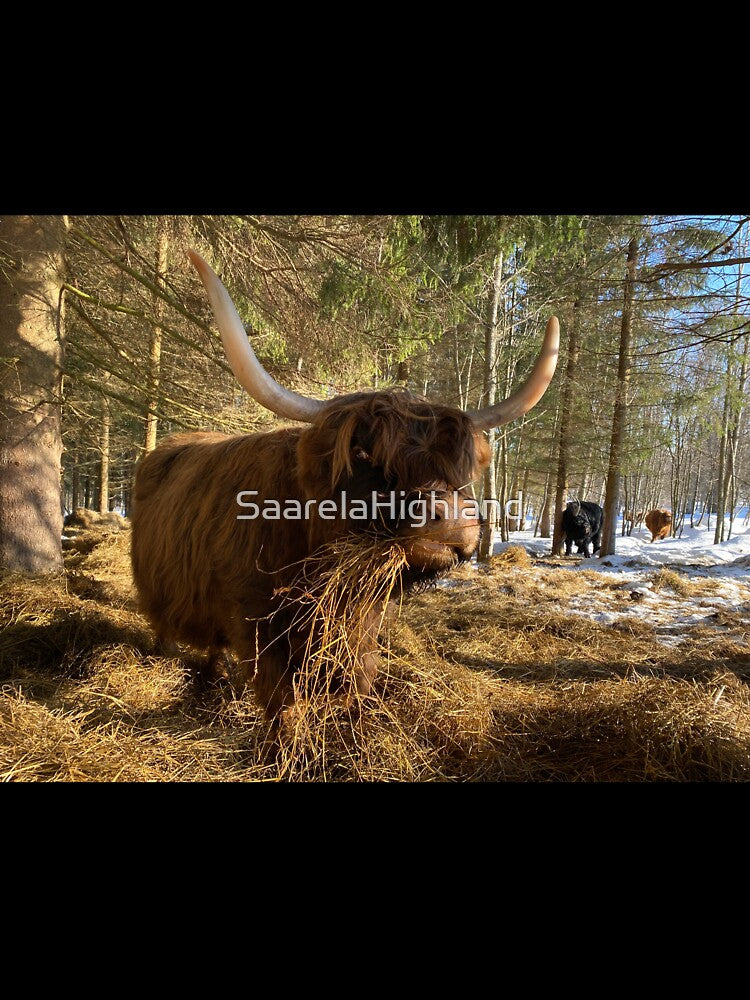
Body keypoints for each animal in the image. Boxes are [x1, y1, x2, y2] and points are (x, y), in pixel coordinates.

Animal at [131, 251, 559, 722]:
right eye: (362, 452)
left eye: (462, 465)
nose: (452, 518)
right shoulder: (255, 623)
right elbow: (282, 705)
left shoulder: (361, 627)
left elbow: (358, 680)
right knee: (169, 627)